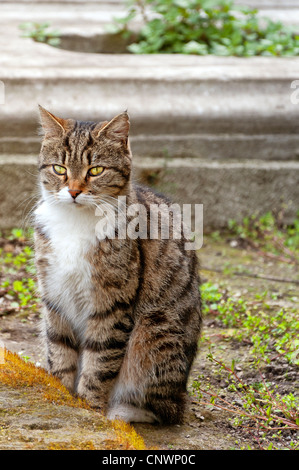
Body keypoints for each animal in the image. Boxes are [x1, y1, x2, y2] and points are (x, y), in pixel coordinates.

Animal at [34, 105, 204, 422]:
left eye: (96, 170)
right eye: (60, 169)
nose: (73, 191)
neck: (75, 222)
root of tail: (181, 393)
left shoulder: (112, 303)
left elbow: (99, 362)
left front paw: (89, 408)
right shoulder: (54, 295)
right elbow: (59, 349)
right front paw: (60, 396)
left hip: (154, 329)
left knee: (160, 409)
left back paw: (120, 412)